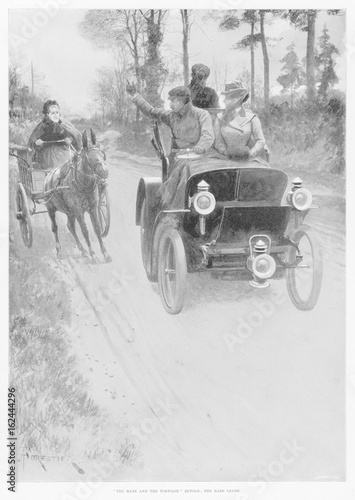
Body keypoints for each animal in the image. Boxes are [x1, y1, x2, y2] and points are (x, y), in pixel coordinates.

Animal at [44, 128, 111, 262]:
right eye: (89, 158)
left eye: (102, 155)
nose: (105, 172)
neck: (83, 185)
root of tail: (47, 176)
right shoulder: (78, 210)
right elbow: (85, 230)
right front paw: (93, 254)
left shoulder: (93, 207)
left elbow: (97, 228)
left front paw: (105, 253)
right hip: (51, 209)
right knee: (55, 228)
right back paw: (59, 251)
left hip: (70, 212)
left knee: (71, 227)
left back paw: (82, 250)